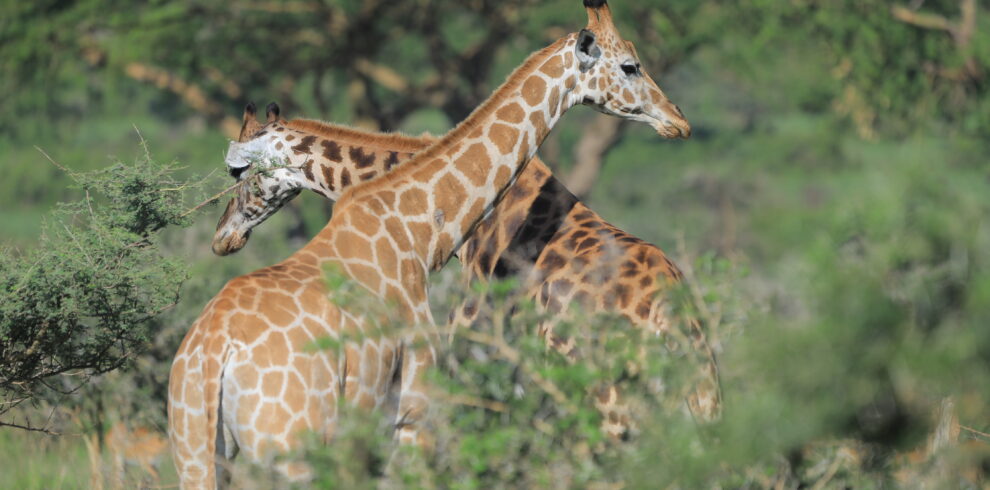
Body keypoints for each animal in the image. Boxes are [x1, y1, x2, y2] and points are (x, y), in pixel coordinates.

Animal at [213, 104, 720, 436]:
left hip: (611, 397)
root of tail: (667, 308)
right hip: (699, 391)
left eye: (240, 175)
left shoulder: (471, 342)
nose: (221, 237)